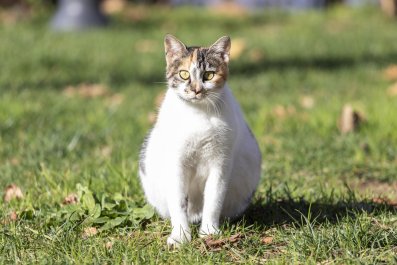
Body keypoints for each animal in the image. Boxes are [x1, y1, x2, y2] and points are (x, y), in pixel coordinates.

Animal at [138, 34, 262, 245]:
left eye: (209, 75)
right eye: (184, 74)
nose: (196, 89)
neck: (198, 114)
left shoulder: (220, 162)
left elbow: (214, 198)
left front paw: (209, 232)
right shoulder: (176, 163)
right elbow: (178, 201)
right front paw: (180, 236)